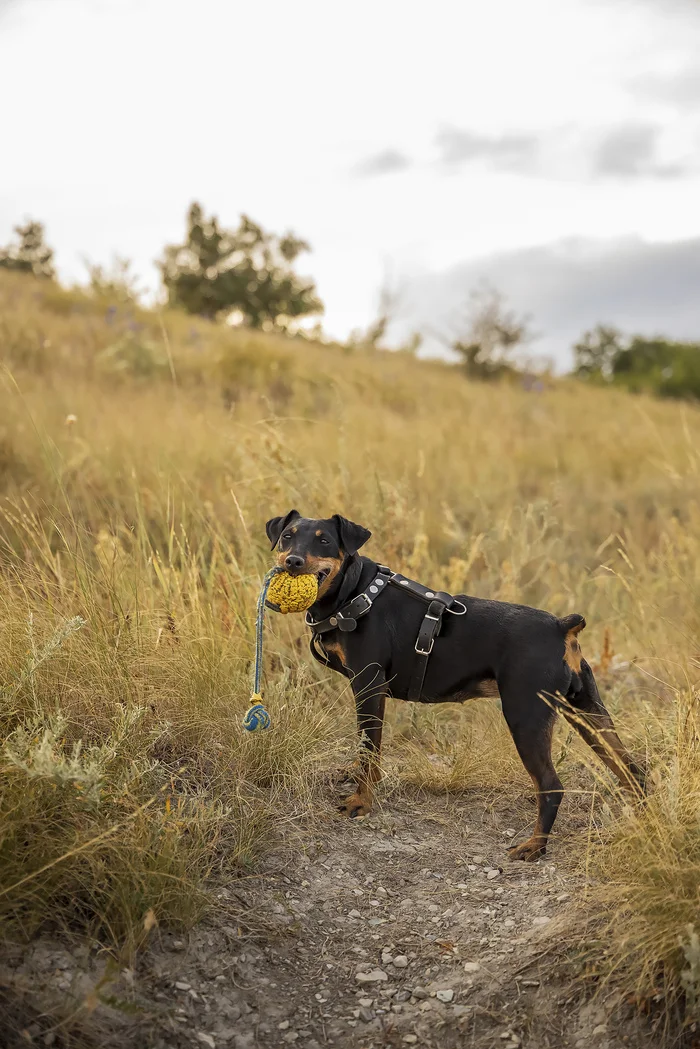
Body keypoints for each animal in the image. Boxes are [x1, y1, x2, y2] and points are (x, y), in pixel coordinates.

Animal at [264, 509, 646, 860]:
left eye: (325, 541)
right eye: (287, 537)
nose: (292, 561)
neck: (355, 592)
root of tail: (561, 626)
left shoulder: (368, 686)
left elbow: (368, 752)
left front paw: (360, 803)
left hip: (526, 715)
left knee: (551, 786)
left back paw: (534, 847)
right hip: (588, 712)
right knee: (632, 771)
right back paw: (640, 823)